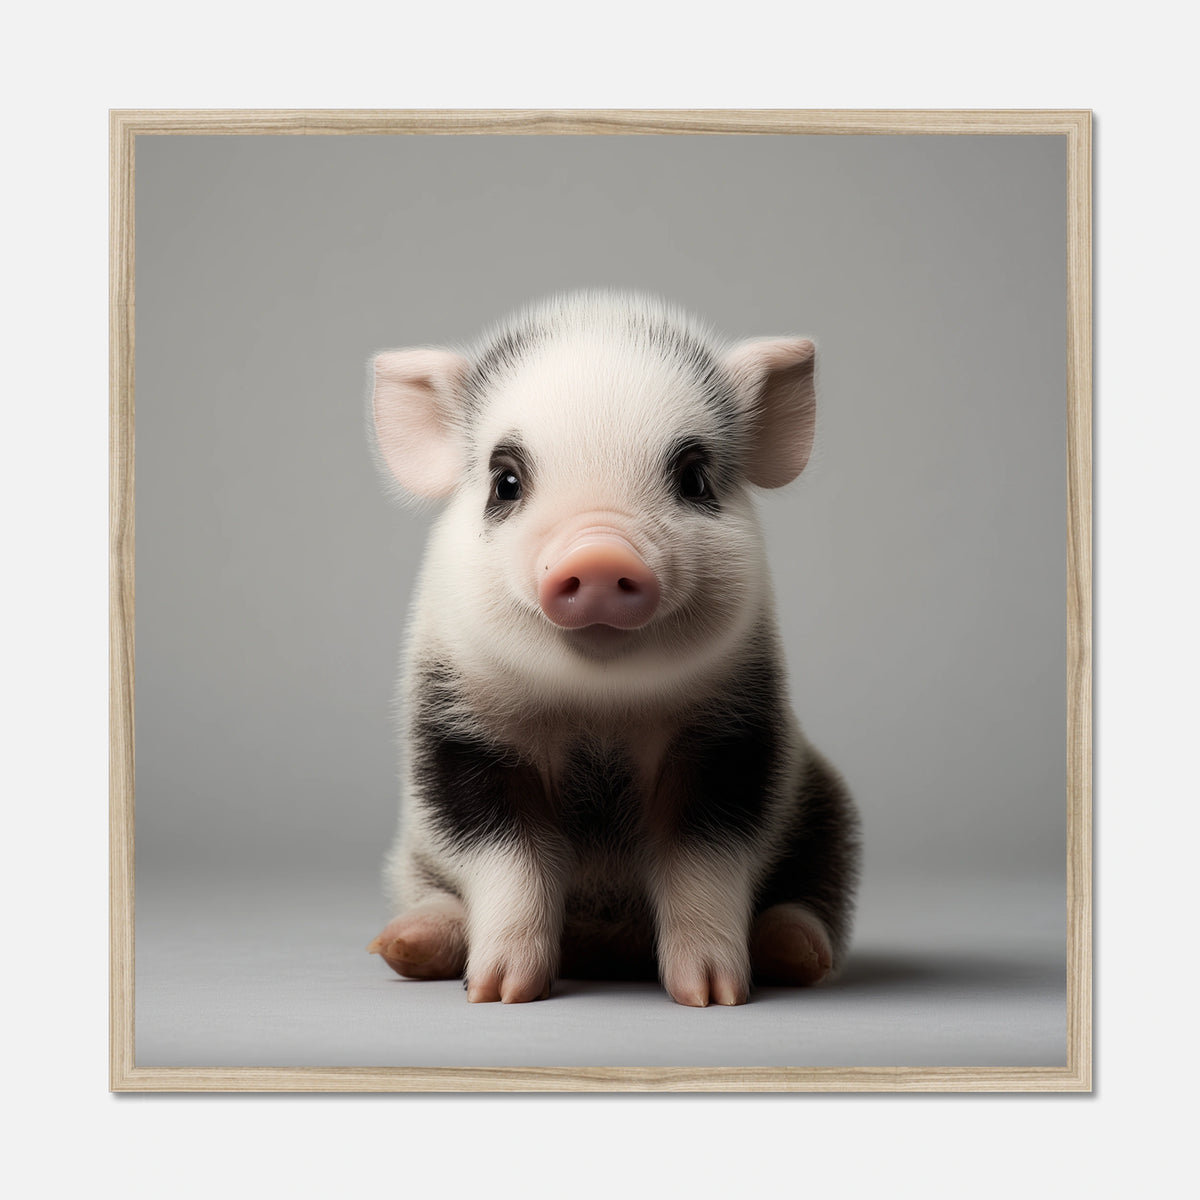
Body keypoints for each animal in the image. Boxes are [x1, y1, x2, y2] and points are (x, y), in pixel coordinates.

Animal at [365, 292, 859, 1006]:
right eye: (505, 481)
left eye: (694, 478)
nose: (599, 555)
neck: (598, 712)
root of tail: (606, 948)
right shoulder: (460, 735)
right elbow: (507, 856)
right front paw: (499, 993)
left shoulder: (734, 735)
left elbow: (701, 857)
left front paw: (712, 995)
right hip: (411, 854)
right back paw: (404, 945)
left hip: (829, 811)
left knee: (813, 898)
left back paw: (791, 951)